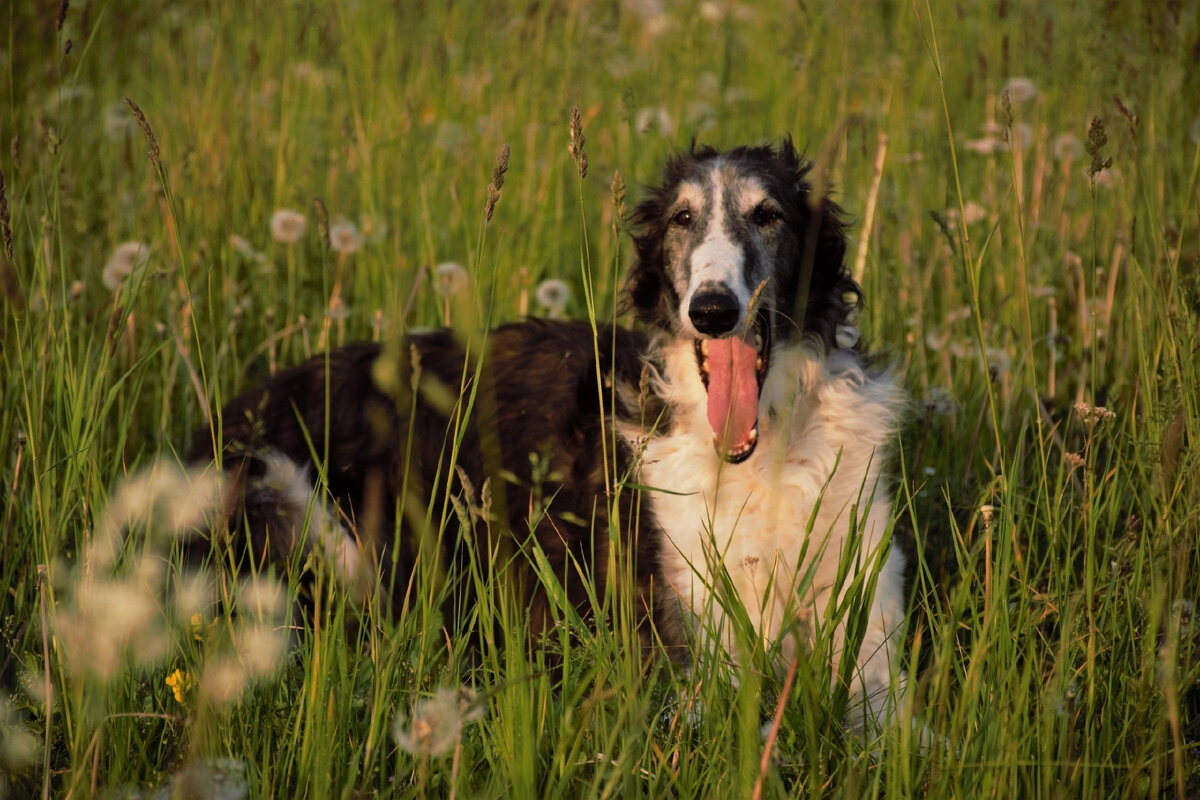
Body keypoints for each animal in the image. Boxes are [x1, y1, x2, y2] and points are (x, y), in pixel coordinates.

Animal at [189, 140, 902, 729]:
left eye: (768, 214)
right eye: (683, 219)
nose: (713, 310)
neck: (761, 455)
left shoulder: (868, 626)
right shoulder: (687, 651)